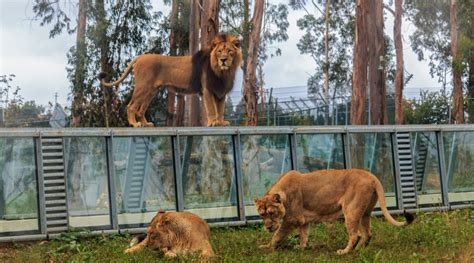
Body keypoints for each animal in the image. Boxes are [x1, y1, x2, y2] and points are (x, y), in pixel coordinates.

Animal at [99, 33, 241, 128]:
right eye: (219, 51)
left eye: (230, 51)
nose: (223, 59)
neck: (223, 72)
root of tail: (139, 57)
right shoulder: (207, 90)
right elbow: (211, 108)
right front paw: (213, 122)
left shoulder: (221, 91)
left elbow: (220, 109)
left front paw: (221, 122)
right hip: (142, 87)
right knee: (131, 106)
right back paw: (135, 124)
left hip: (151, 91)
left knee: (141, 109)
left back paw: (146, 124)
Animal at [254, 169, 412, 256]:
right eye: (262, 215)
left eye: (271, 213)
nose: (267, 227)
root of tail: (372, 176)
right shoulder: (303, 220)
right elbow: (304, 235)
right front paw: (301, 247)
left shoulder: (292, 219)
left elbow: (277, 235)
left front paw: (267, 247)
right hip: (364, 213)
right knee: (367, 234)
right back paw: (358, 250)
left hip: (350, 210)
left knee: (356, 234)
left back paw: (345, 252)